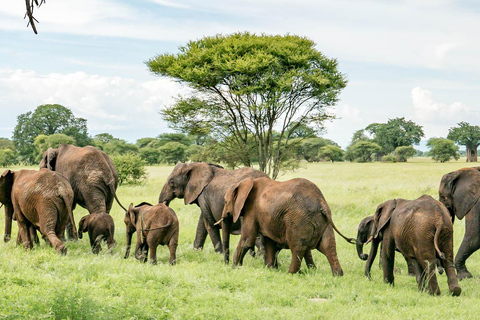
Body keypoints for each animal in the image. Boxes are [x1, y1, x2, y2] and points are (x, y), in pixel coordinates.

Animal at [221, 176, 356, 274]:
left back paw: (291, 273)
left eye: (226, 202)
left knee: (297, 247)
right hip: (322, 221)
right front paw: (271, 270)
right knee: (328, 246)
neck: (246, 183)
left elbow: (247, 240)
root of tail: (321, 202)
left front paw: (234, 267)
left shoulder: (252, 210)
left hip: (299, 220)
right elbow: (269, 243)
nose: (225, 264)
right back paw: (337, 275)